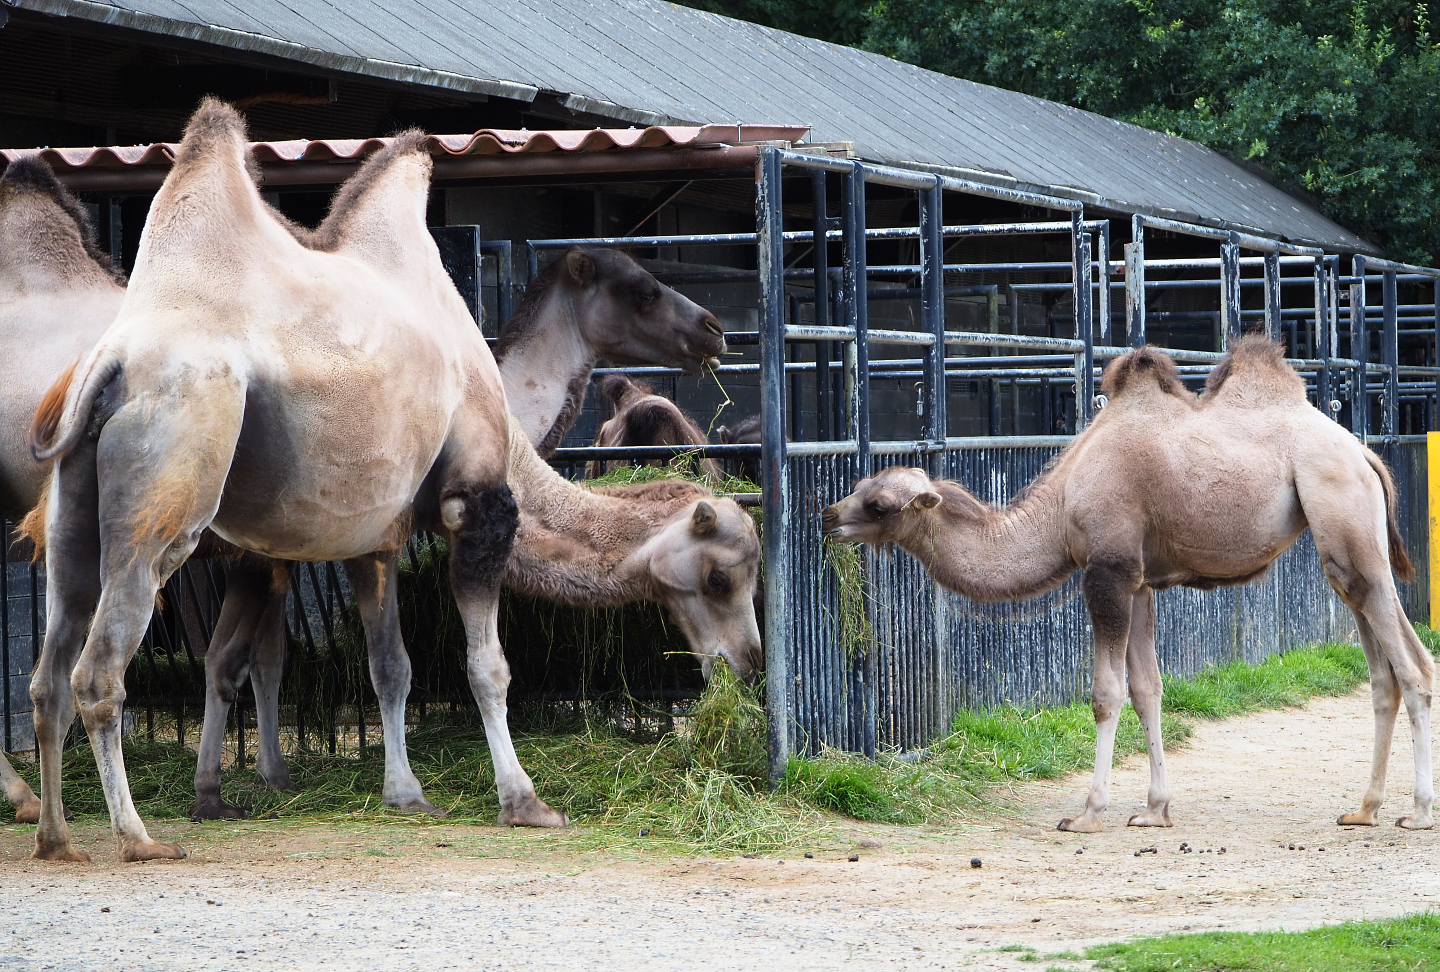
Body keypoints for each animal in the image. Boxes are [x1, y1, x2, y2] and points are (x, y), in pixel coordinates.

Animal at [23, 99, 566, 863]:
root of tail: (114, 361)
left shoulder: (377, 537)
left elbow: (390, 664)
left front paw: (406, 795)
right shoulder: (477, 497)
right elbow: (486, 665)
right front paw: (524, 802)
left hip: (73, 498)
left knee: (49, 672)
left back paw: (56, 838)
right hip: (174, 463)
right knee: (99, 669)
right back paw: (139, 839)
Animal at [822, 337, 1434, 833]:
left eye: (878, 504)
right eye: (863, 485)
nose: (827, 516)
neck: (1063, 502)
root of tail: (1365, 453)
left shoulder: (1108, 571)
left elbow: (1105, 693)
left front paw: (1089, 813)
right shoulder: (1139, 582)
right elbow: (1148, 689)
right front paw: (1155, 810)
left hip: (1342, 513)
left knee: (1414, 665)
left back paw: (1418, 813)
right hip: (1345, 552)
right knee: (1381, 671)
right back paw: (1363, 809)